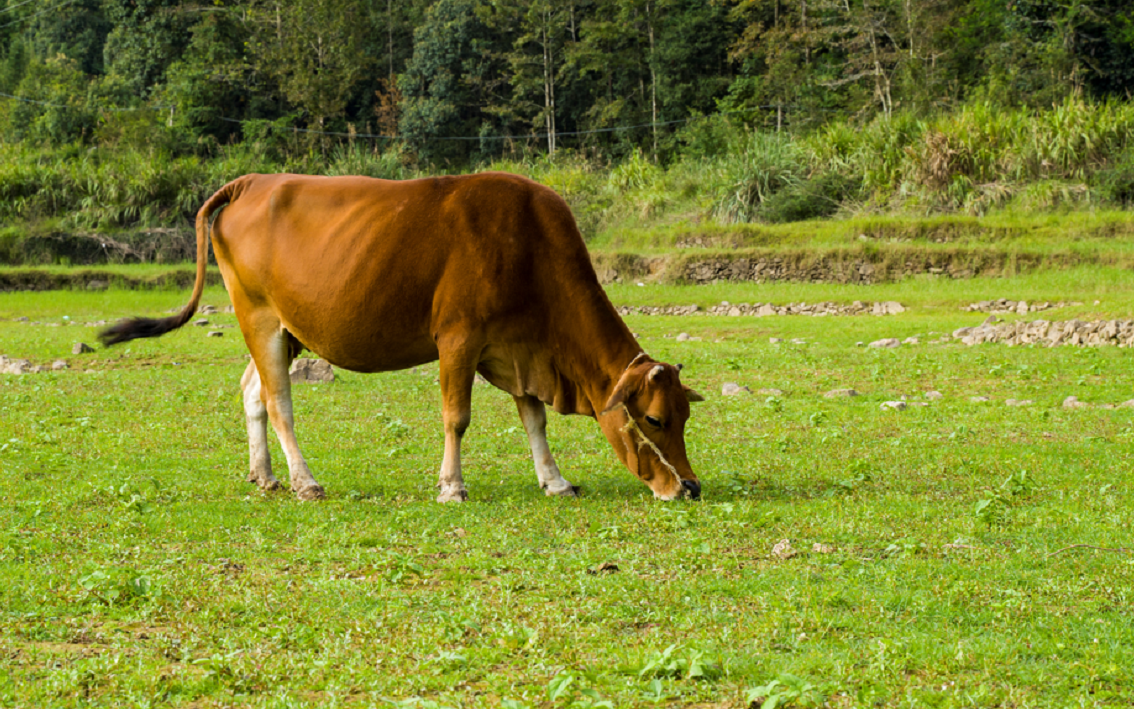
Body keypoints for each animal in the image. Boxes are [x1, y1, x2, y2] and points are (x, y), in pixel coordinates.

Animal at [99, 173, 698, 501]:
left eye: (684, 417)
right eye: (654, 420)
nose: (689, 488)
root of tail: (252, 183)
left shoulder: (519, 347)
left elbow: (534, 418)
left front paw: (555, 481)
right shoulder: (458, 338)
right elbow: (457, 417)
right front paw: (452, 486)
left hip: (288, 329)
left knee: (252, 392)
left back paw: (265, 476)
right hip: (259, 318)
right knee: (278, 401)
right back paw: (304, 480)